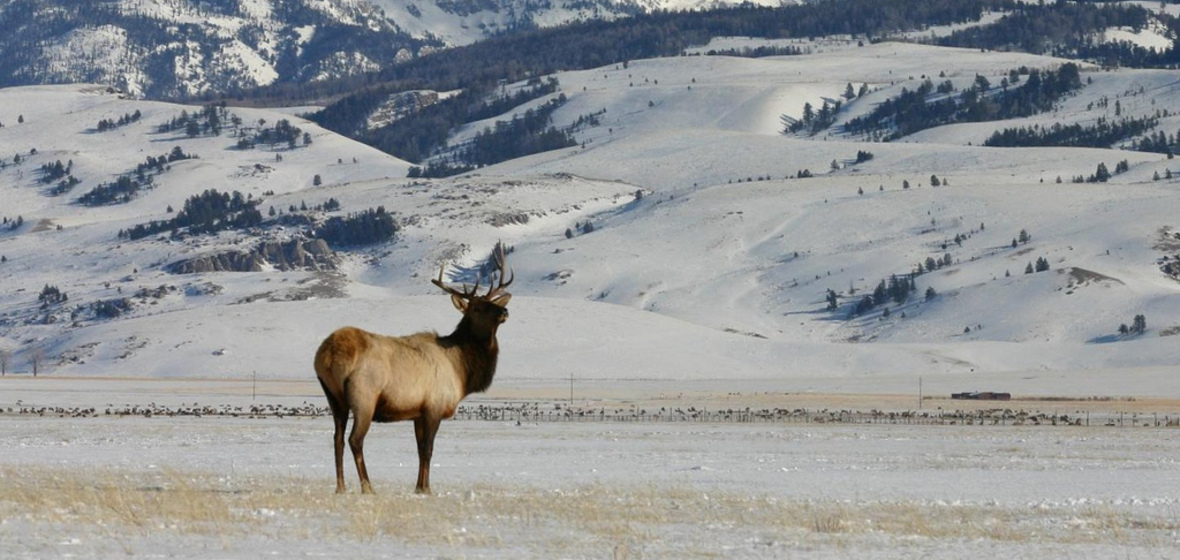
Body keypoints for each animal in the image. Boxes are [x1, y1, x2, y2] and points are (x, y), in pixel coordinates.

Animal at [313, 247, 512, 492]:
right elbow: (428, 449)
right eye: (476, 307)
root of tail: (328, 355)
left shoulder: (418, 411)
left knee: (337, 439)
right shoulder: (434, 407)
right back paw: (368, 487)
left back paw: (341, 487)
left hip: (333, 396)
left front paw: (419, 487)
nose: (504, 311)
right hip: (364, 396)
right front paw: (426, 489)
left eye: (493, 302)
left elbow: (419, 449)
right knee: (355, 440)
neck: (462, 370)